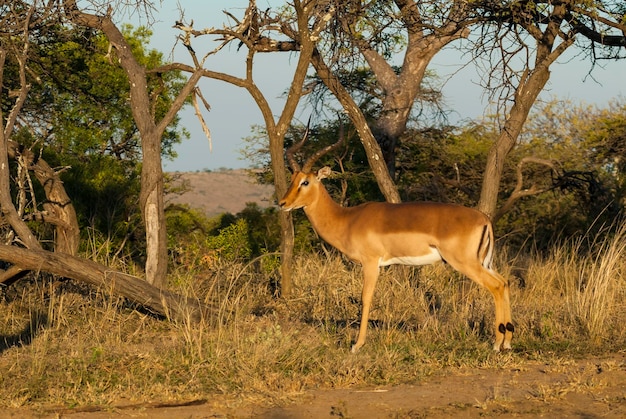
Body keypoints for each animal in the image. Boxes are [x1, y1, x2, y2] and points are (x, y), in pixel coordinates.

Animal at [278, 124, 512, 354]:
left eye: (305, 182)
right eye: (292, 179)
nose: (282, 203)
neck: (347, 219)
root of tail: (484, 219)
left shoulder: (371, 263)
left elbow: (365, 298)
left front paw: (357, 345)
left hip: (465, 263)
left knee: (496, 286)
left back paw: (497, 344)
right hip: (484, 263)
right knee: (504, 282)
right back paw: (506, 342)